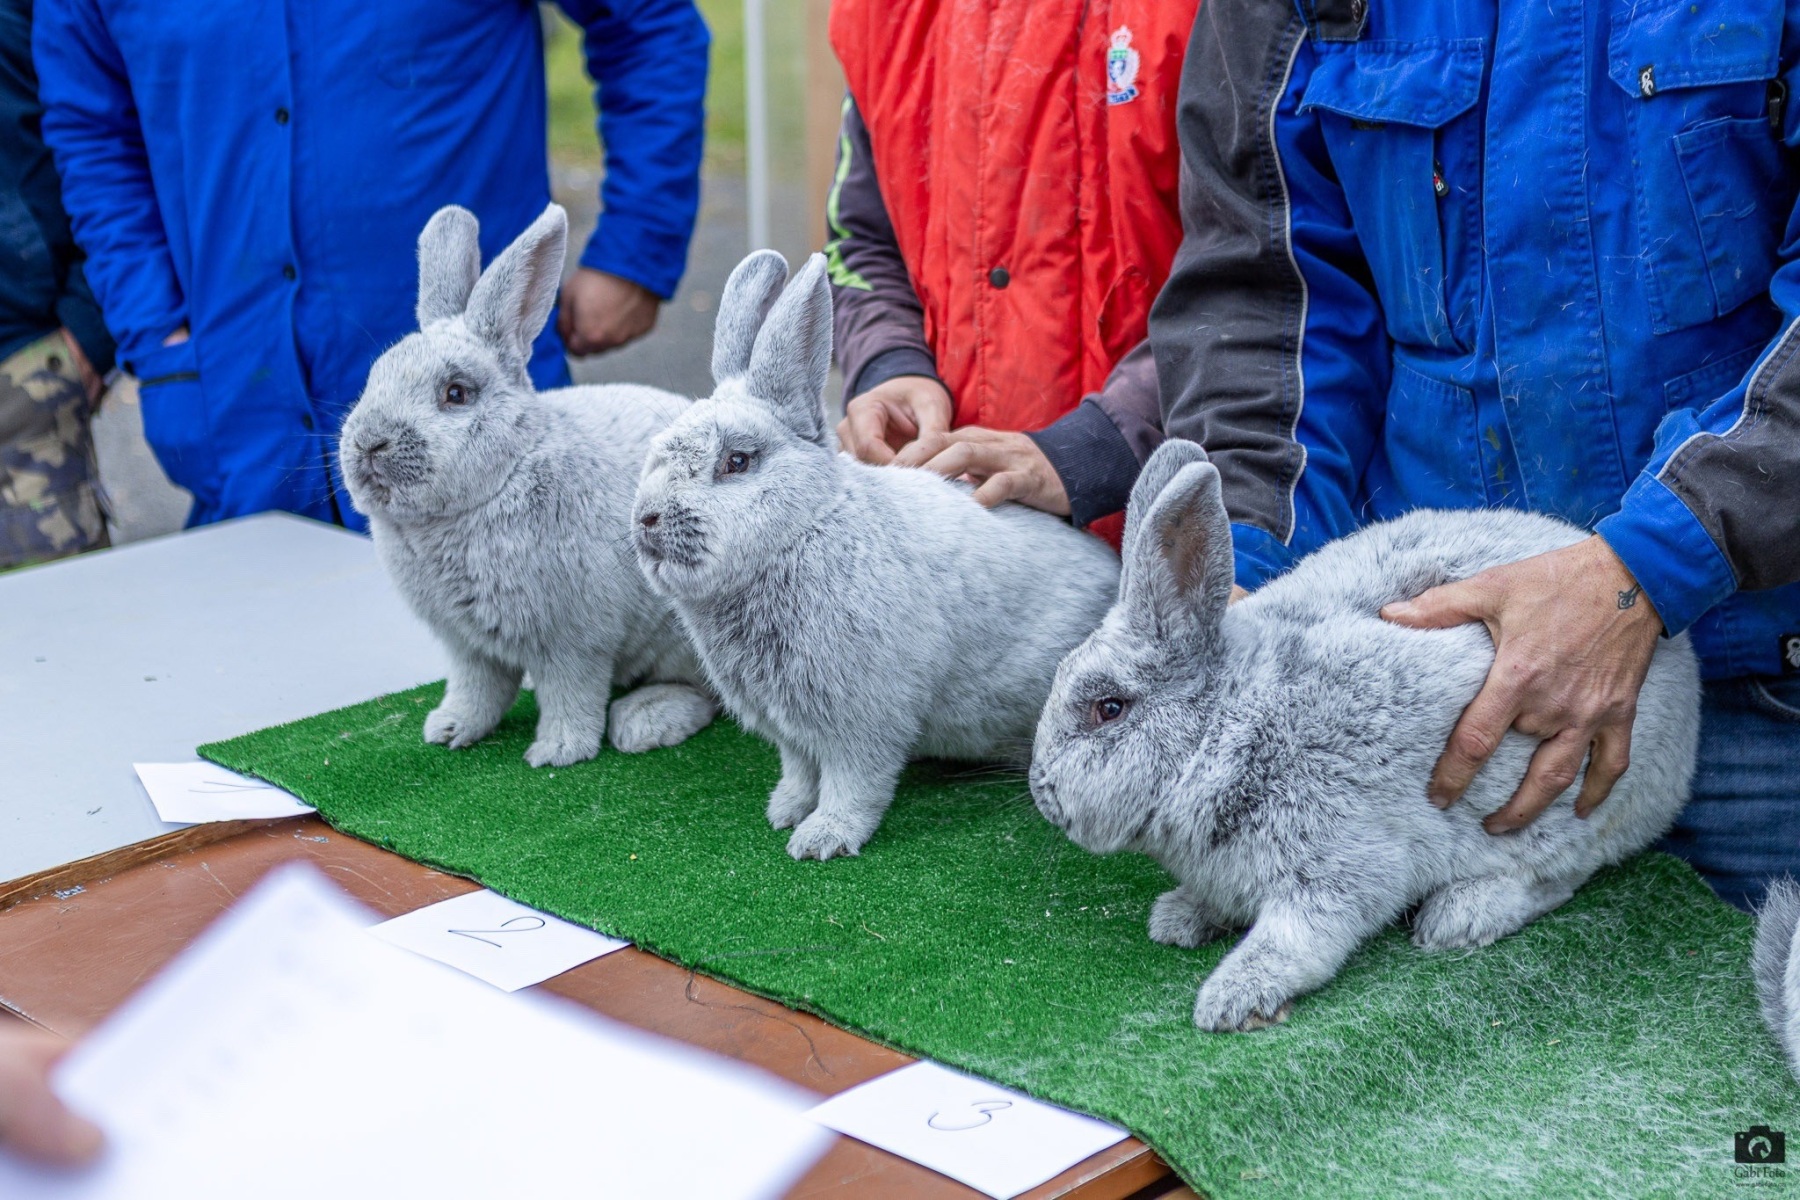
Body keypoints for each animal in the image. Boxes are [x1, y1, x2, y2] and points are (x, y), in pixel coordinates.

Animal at [338, 203, 716, 768]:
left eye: (456, 393)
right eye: (373, 378)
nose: (369, 443)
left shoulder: (575, 642)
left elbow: (571, 695)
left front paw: (557, 752)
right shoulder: (467, 646)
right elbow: (477, 690)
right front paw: (450, 729)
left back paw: (643, 722)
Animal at [630, 249, 1122, 860]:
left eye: (737, 462)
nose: (646, 519)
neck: (807, 529)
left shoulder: (861, 723)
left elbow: (854, 784)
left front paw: (821, 839)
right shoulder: (791, 731)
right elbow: (800, 772)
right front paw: (784, 811)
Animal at [1029, 439, 1701, 1031]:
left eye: (1109, 708)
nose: (1041, 792)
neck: (1230, 724)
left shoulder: (1339, 861)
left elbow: (1300, 937)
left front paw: (1231, 999)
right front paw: (1180, 917)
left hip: (1565, 807)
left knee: (1558, 877)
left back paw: (1459, 917)